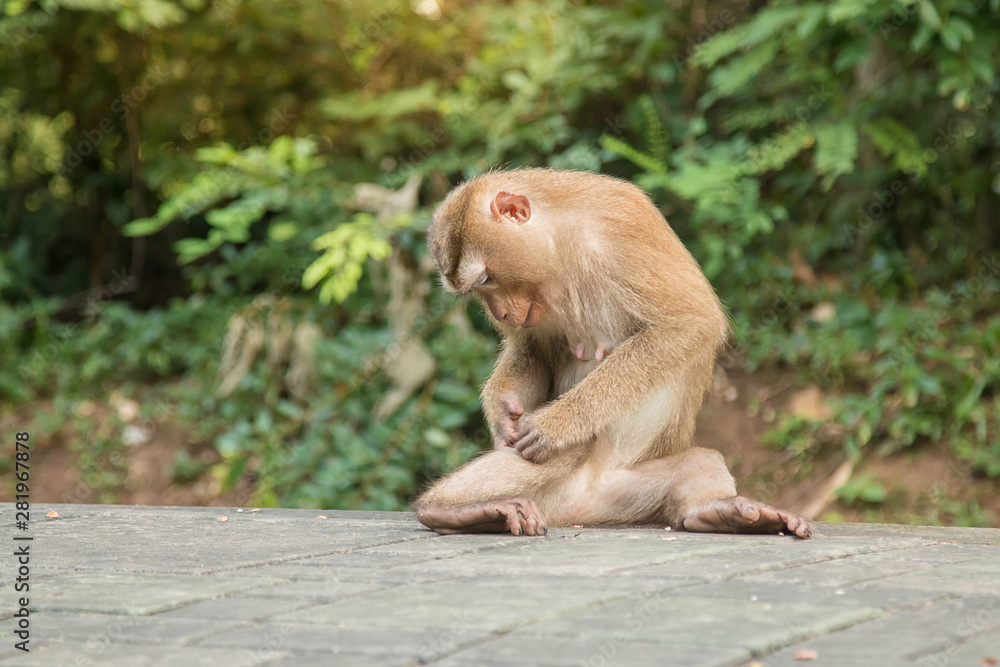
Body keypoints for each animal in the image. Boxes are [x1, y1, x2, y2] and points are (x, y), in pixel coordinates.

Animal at [414, 168, 812, 539]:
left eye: (485, 280)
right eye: (478, 289)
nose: (501, 315)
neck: (561, 242)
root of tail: (573, 508)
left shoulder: (620, 232)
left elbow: (689, 323)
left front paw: (556, 426)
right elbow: (533, 350)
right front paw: (502, 413)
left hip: (621, 493)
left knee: (691, 460)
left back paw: (714, 511)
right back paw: (451, 510)